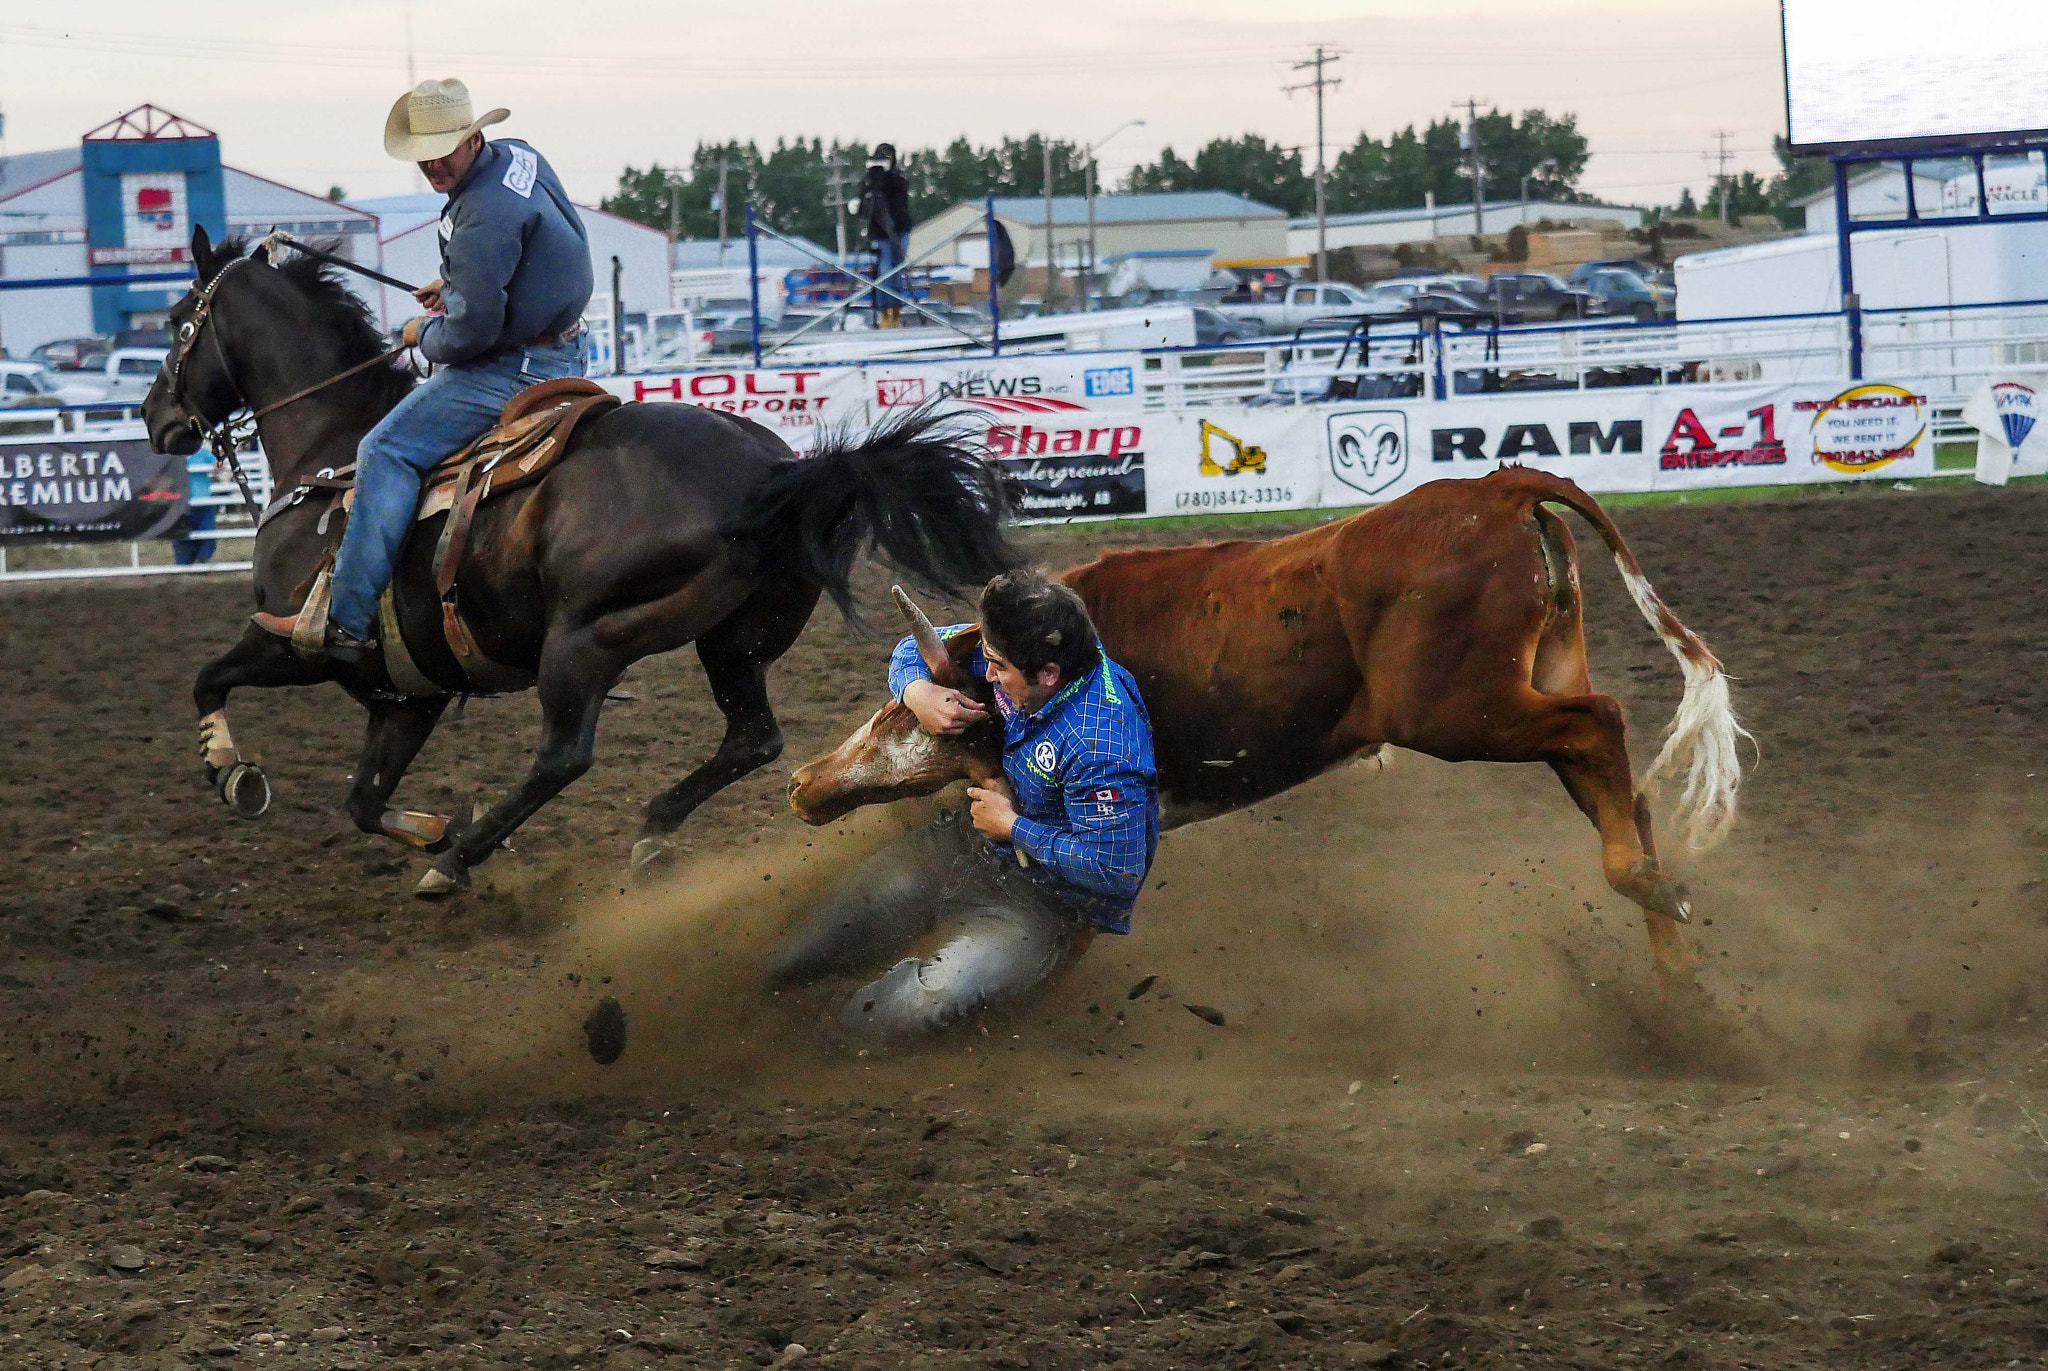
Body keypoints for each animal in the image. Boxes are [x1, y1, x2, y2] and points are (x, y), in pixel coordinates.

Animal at [140, 232, 1011, 897]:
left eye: (179, 322)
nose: (155, 419)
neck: (330, 453)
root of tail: (775, 470)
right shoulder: (405, 695)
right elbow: (362, 798)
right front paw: (429, 826)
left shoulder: (291, 641)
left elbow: (207, 680)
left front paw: (231, 770)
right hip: (736, 640)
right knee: (753, 738)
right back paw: (646, 832)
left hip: (585, 639)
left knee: (565, 755)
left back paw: (463, 861)